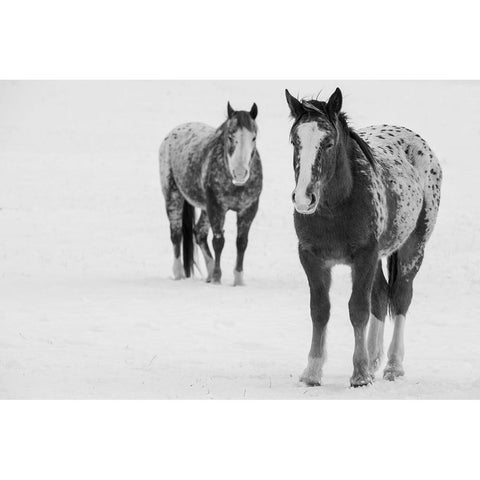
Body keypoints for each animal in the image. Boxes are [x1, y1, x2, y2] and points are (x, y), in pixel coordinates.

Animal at [158, 101, 262, 284]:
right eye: (230, 137)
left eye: (254, 137)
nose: (240, 173)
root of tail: (173, 134)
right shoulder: (217, 208)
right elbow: (218, 241)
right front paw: (217, 279)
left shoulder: (248, 209)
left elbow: (241, 242)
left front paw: (238, 281)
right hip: (173, 197)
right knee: (176, 235)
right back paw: (179, 274)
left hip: (205, 208)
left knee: (199, 233)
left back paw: (209, 271)